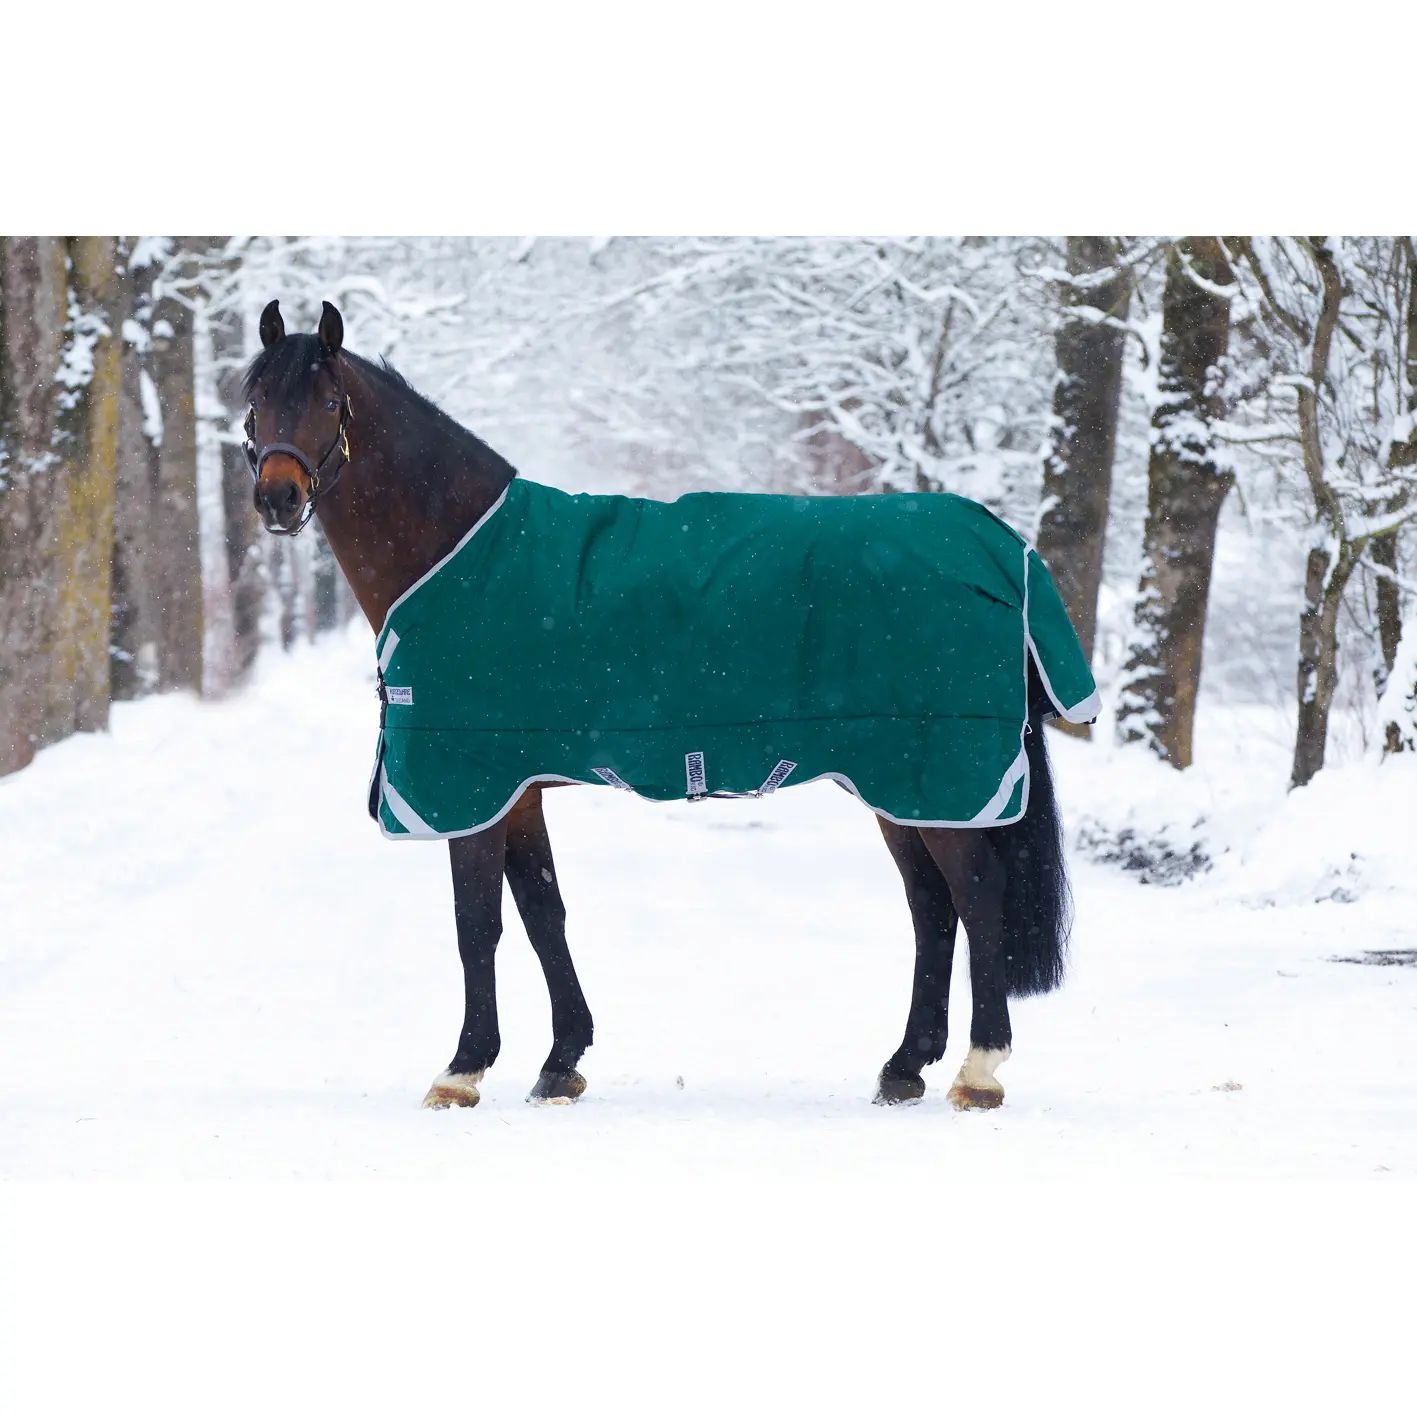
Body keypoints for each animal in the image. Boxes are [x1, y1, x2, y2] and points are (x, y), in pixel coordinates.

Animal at [243, 299, 1083, 1112]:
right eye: (253, 401)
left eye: (327, 401)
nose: (278, 498)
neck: (458, 551)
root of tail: (997, 543)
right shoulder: (517, 788)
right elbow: (543, 913)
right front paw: (561, 1060)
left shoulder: (469, 785)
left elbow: (476, 925)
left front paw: (463, 1068)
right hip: (900, 785)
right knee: (930, 907)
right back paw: (903, 1066)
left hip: (934, 776)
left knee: (975, 897)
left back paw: (978, 1070)